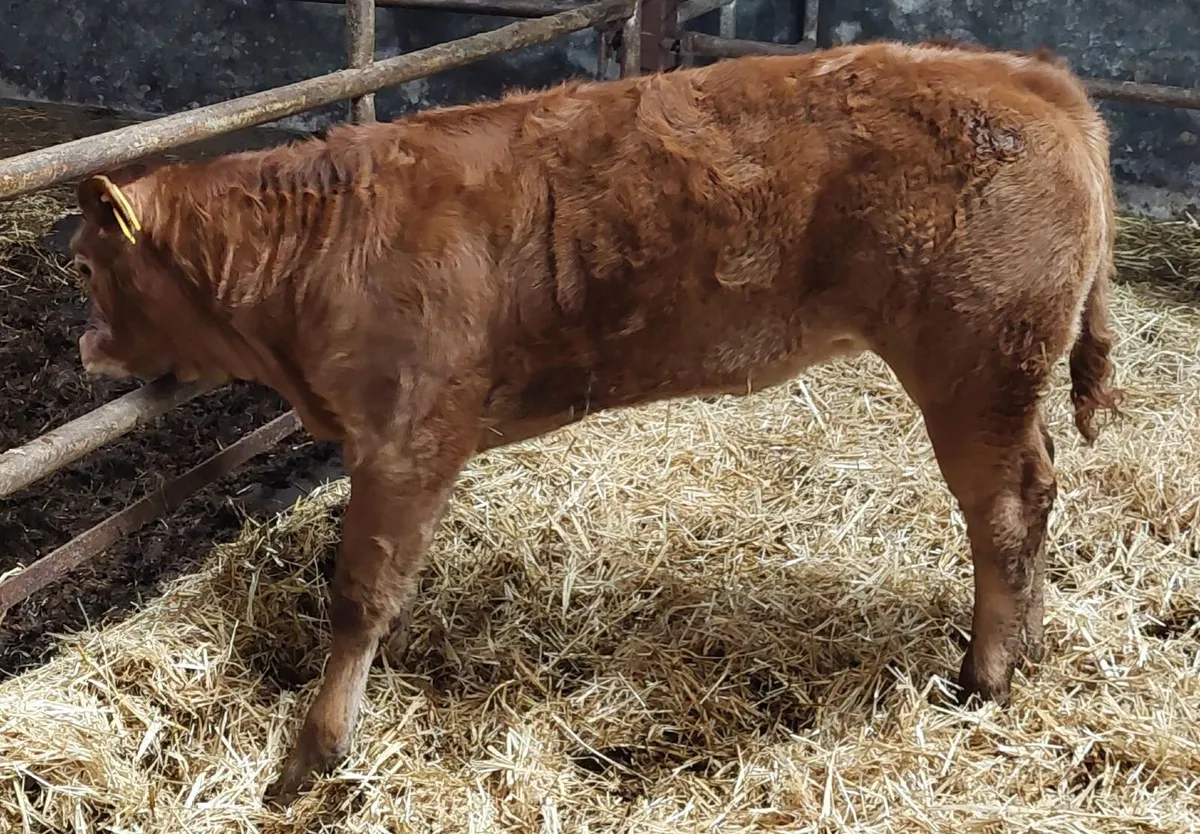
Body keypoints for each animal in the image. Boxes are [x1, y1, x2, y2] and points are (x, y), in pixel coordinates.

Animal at [69, 40, 1121, 805]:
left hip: (978, 363)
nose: (84, 348)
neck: (315, 250)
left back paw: (985, 673)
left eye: (83, 265)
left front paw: (311, 756)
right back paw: (1021, 647)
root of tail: (1022, 72)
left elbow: (361, 595)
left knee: (1007, 509)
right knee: (1033, 496)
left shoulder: (407, 438)